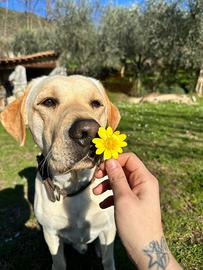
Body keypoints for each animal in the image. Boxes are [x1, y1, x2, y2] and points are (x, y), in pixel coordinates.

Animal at [0, 74, 120, 270]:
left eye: (96, 103)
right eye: (48, 102)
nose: (89, 132)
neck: (74, 188)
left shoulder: (109, 229)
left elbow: (108, 259)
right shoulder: (51, 235)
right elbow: (59, 260)